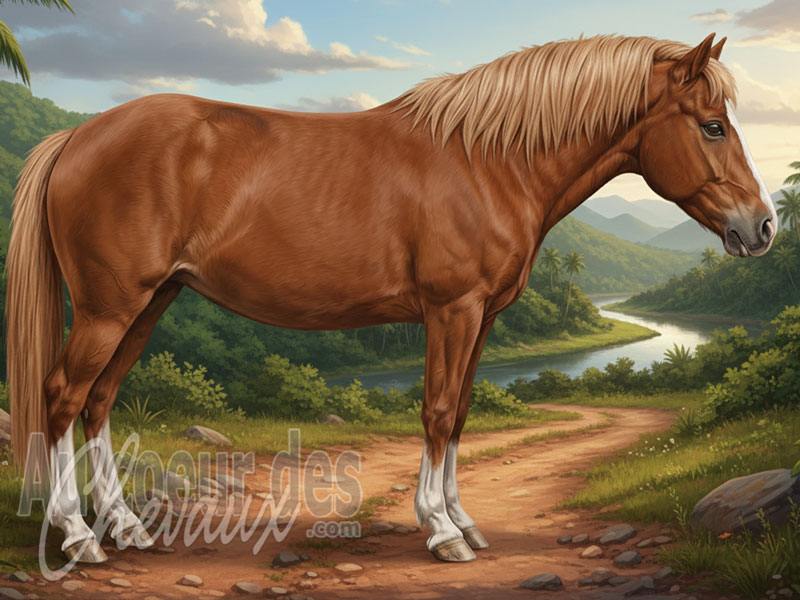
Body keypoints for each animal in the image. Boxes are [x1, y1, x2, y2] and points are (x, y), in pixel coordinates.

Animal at [7, 33, 776, 564]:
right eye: (712, 125)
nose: (763, 226)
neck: (487, 160)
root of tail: (77, 135)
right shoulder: (452, 310)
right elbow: (435, 412)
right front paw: (441, 532)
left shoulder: (482, 318)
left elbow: (460, 415)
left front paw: (463, 522)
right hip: (111, 308)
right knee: (65, 397)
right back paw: (77, 537)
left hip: (150, 303)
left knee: (101, 401)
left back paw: (127, 528)